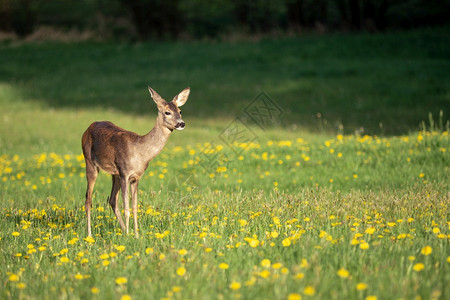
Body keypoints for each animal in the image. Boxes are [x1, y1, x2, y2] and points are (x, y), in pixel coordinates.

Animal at [81, 86, 190, 237]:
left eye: (180, 111)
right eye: (167, 112)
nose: (181, 123)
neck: (140, 151)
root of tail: (87, 128)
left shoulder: (136, 177)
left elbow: (134, 206)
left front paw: (136, 235)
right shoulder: (124, 173)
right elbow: (126, 207)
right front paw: (129, 235)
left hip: (114, 174)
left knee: (112, 200)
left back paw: (122, 230)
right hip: (90, 162)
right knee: (88, 199)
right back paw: (90, 235)